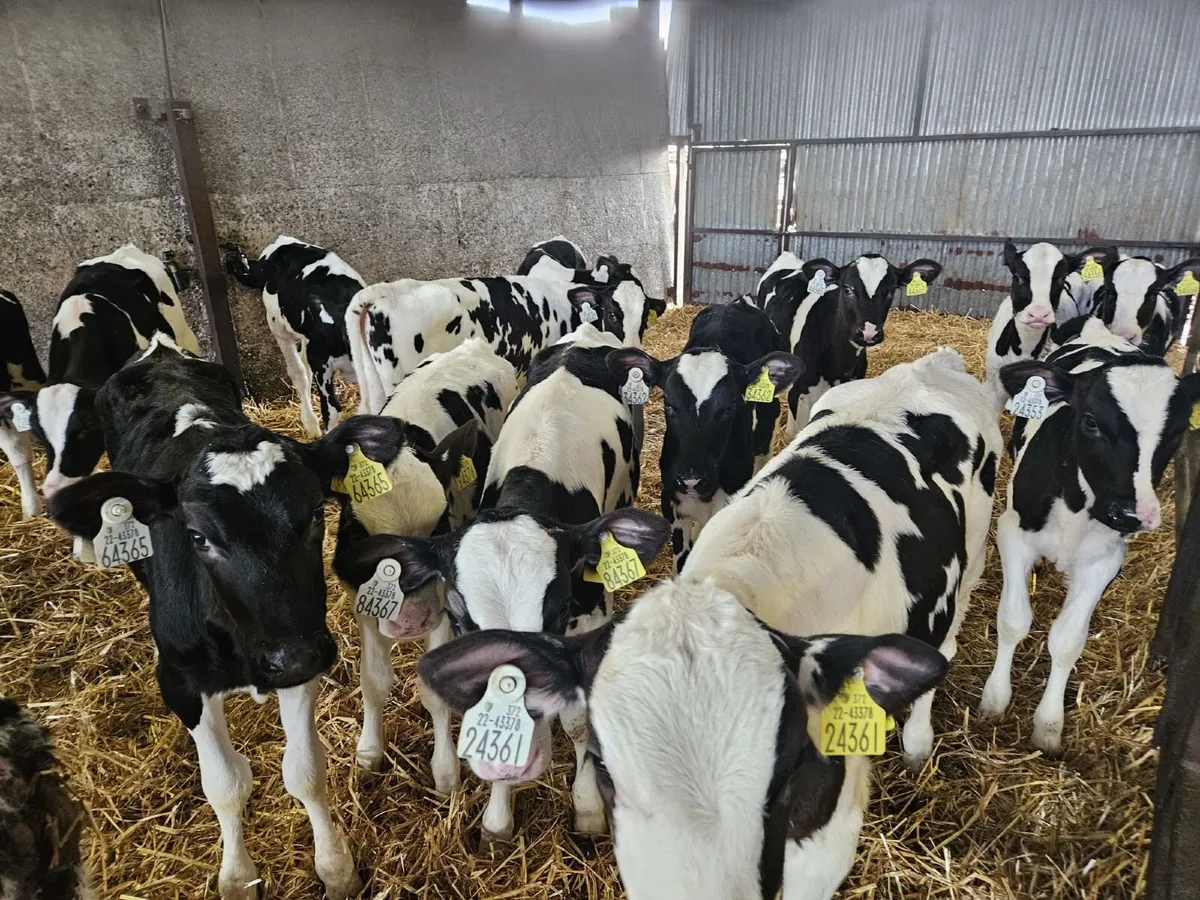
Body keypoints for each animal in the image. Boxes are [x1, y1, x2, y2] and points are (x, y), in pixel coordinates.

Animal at [43, 337, 411, 900]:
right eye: (197, 536)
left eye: (315, 514)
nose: (295, 655)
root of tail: (159, 354)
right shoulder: (179, 679)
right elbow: (225, 784)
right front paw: (237, 876)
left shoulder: (299, 654)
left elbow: (305, 771)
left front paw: (335, 868)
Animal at [223, 236, 366, 437]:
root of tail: (283, 242)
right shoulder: (320, 365)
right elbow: (330, 408)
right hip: (281, 328)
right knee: (299, 372)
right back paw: (311, 424)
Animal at [334, 338, 519, 772]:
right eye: (358, 532)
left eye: (439, 526)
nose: (411, 622)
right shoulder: (361, 599)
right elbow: (373, 680)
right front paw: (369, 748)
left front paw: (445, 770)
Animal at [979, 318, 1200, 754]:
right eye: (1092, 421)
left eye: (1178, 431)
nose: (1131, 514)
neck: (1077, 507)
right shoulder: (1013, 533)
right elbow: (1013, 619)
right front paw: (995, 699)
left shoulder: (1104, 561)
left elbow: (1067, 640)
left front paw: (1049, 724)